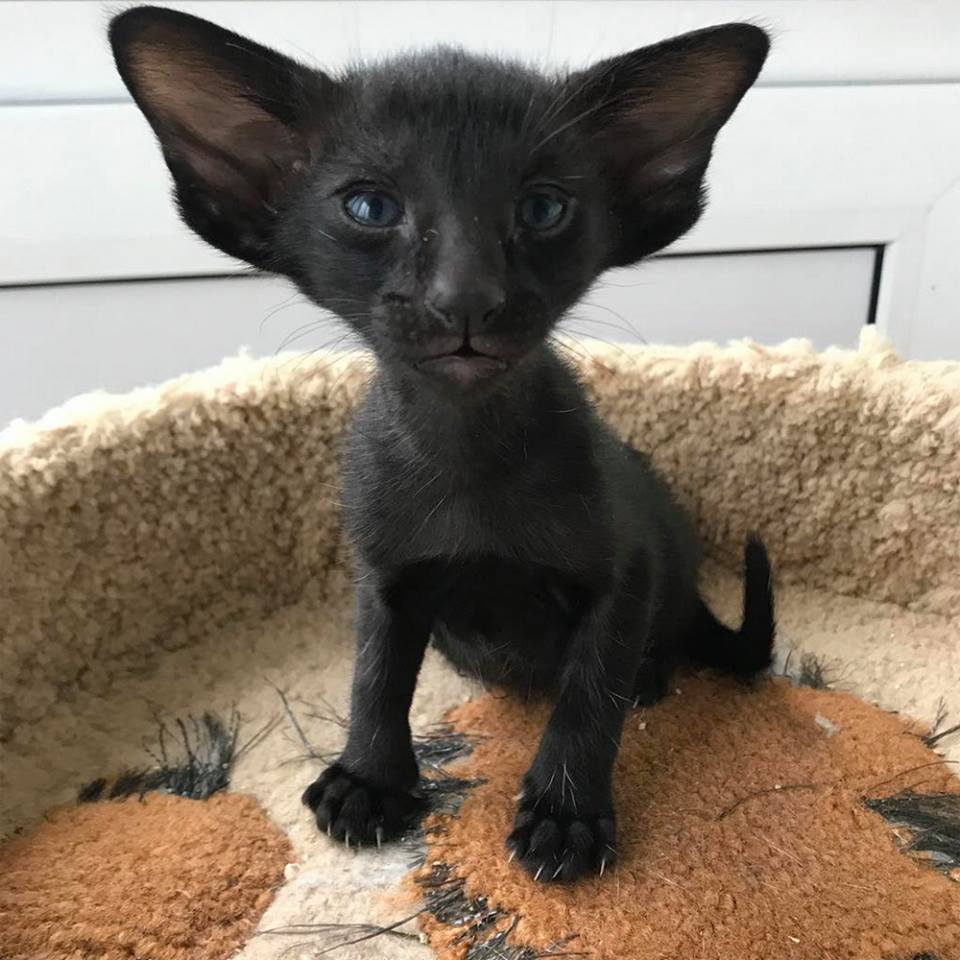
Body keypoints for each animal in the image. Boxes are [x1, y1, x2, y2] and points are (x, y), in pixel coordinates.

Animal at [110, 5, 772, 884]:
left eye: (543, 209)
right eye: (368, 207)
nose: (465, 297)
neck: (465, 452)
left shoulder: (621, 572)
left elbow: (588, 696)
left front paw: (565, 814)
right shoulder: (382, 575)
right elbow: (376, 674)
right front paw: (368, 781)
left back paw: (653, 674)